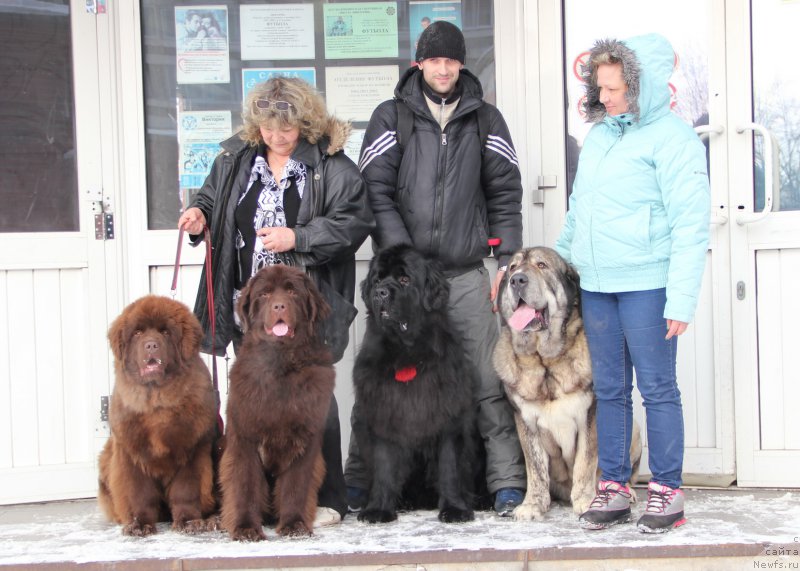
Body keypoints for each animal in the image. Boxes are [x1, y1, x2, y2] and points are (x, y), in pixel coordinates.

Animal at [99, 294, 219, 536]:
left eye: (165, 332)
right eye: (137, 333)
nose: (151, 345)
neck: (156, 401)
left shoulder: (192, 450)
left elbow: (186, 490)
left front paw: (188, 522)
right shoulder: (131, 453)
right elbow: (139, 493)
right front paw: (139, 524)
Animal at [217, 266, 336, 544]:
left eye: (292, 291)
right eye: (265, 294)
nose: (279, 306)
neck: (281, 365)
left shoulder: (306, 439)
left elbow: (296, 485)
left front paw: (294, 524)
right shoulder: (244, 438)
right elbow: (245, 483)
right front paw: (245, 528)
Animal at [354, 244, 478, 524]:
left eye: (404, 279)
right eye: (377, 279)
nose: (379, 292)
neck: (407, 353)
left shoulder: (448, 417)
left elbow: (449, 466)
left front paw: (455, 509)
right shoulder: (383, 414)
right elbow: (384, 465)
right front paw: (378, 509)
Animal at [490, 246, 640, 524]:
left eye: (541, 265)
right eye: (513, 267)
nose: (517, 280)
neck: (546, 360)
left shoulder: (590, 415)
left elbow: (584, 461)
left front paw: (585, 500)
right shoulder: (525, 422)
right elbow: (535, 469)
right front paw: (533, 505)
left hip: (634, 430)